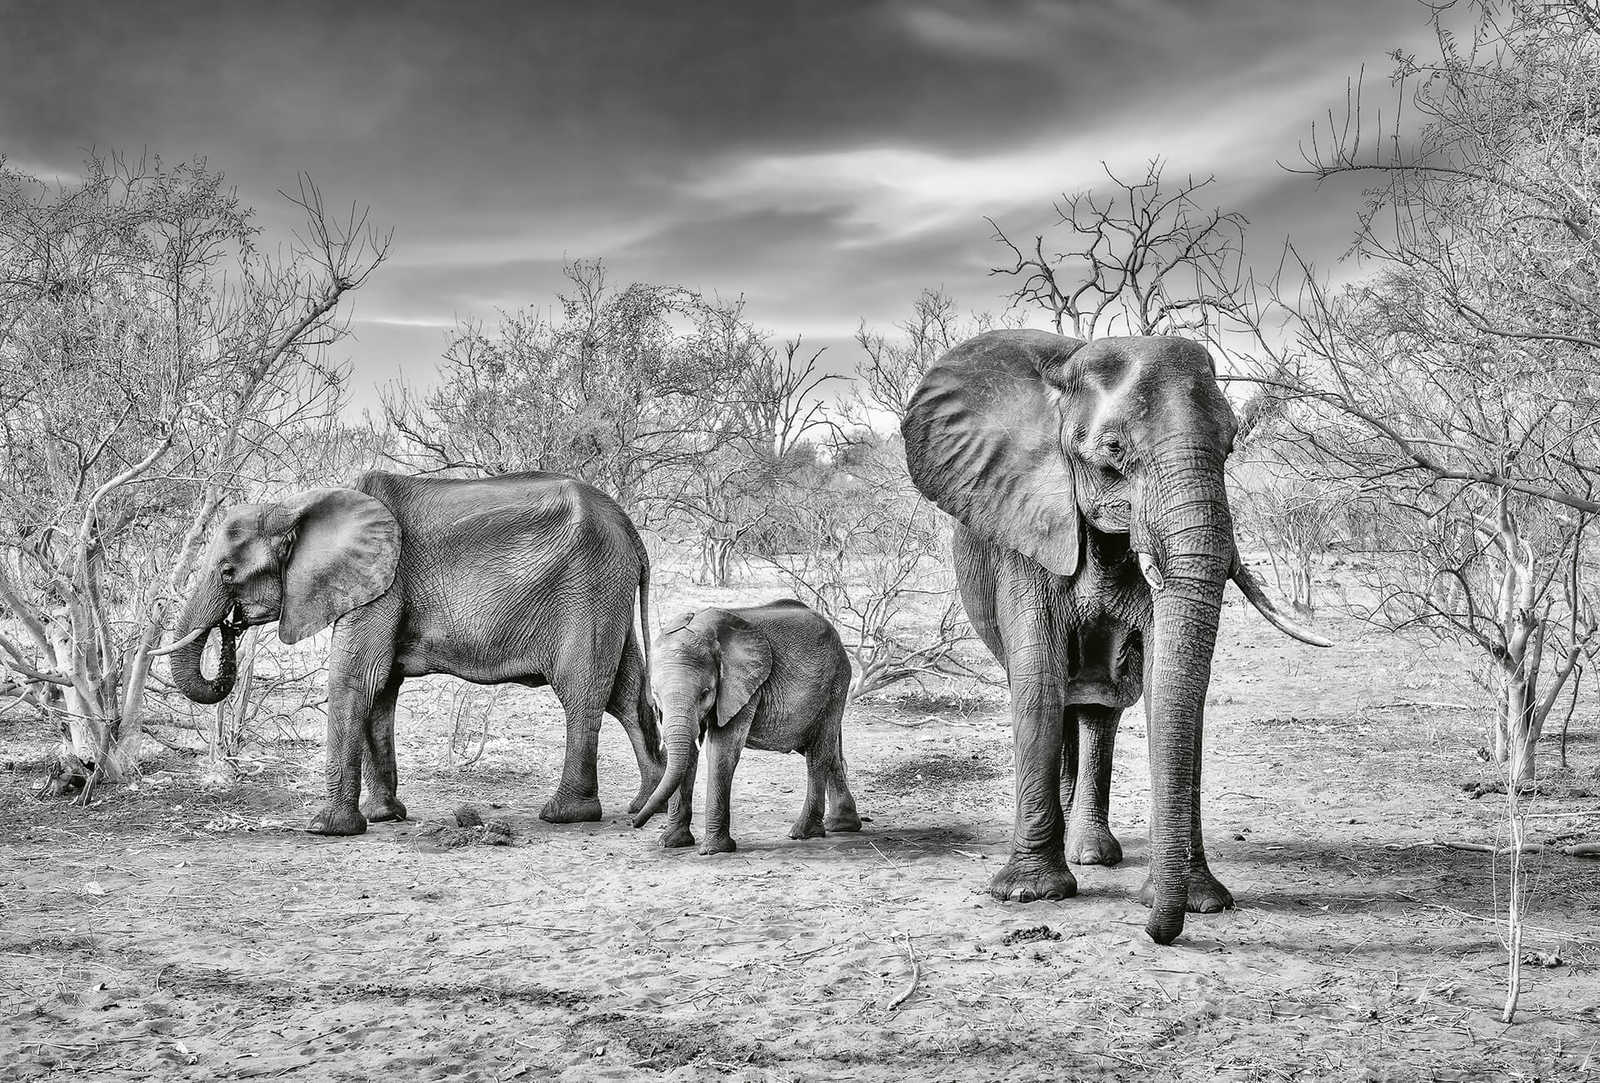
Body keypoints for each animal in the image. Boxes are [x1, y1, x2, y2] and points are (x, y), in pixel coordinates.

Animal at [168, 469, 666, 836]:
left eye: (228, 571)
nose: (230, 627)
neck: (292, 507)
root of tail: (630, 532)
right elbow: (380, 690)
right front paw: (385, 815)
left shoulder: (381, 586)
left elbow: (354, 680)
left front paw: (327, 828)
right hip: (607, 589)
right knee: (626, 694)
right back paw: (648, 804)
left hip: (589, 588)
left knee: (583, 692)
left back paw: (565, 815)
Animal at [629, 600, 861, 854]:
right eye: (655, 694)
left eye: (705, 693)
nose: (634, 822)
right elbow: (688, 753)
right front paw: (670, 843)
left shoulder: (743, 686)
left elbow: (721, 751)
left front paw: (713, 850)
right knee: (828, 752)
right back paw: (841, 825)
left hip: (835, 684)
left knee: (818, 754)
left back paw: (803, 832)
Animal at [901, 329, 1327, 944]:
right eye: (1112, 449)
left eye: (1228, 446)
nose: (1152, 931)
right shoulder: (1025, 527)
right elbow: (1037, 683)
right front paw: (1029, 893)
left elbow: (1166, 690)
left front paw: (1203, 902)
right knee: (1059, 695)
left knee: (1098, 706)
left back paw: (1092, 853)